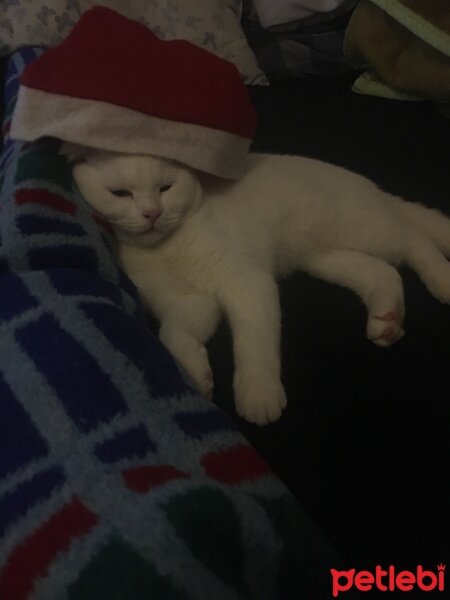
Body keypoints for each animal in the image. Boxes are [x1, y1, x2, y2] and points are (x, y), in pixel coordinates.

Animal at [71, 152, 450, 426]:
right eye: (120, 193)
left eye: (166, 187)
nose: (152, 213)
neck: (170, 247)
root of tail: (372, 188)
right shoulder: (189, 301)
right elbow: (173, 334)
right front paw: (195, 371)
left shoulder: (248, 284)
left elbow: (254, 345)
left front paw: (258, 394)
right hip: (326, 257)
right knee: (384, 273)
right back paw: (387, 320)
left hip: (363, 231)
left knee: (413, 239)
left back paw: (442, 280)